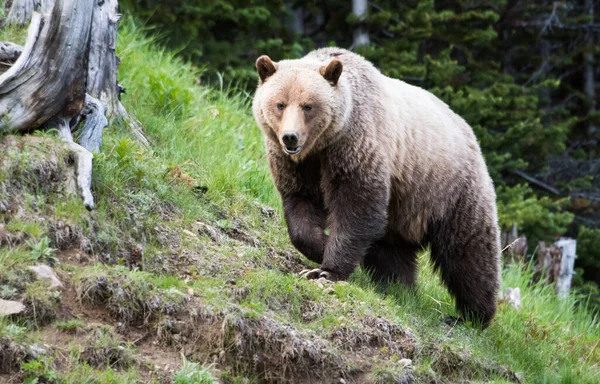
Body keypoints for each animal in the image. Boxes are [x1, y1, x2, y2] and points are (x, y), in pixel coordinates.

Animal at [252, 46, 502, 326]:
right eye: (280, 104)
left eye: (308, 106)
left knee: (468, 253)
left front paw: (326, 270)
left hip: (451, 190)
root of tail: (470, 133)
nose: (290, 137)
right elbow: (300, 207)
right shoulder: (297, 166)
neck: (321, 146)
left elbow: (356, 206)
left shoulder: (355, 147)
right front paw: (319, 248)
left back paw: (472, 315)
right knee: (392, 251)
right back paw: (397, 287)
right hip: (403, 205)